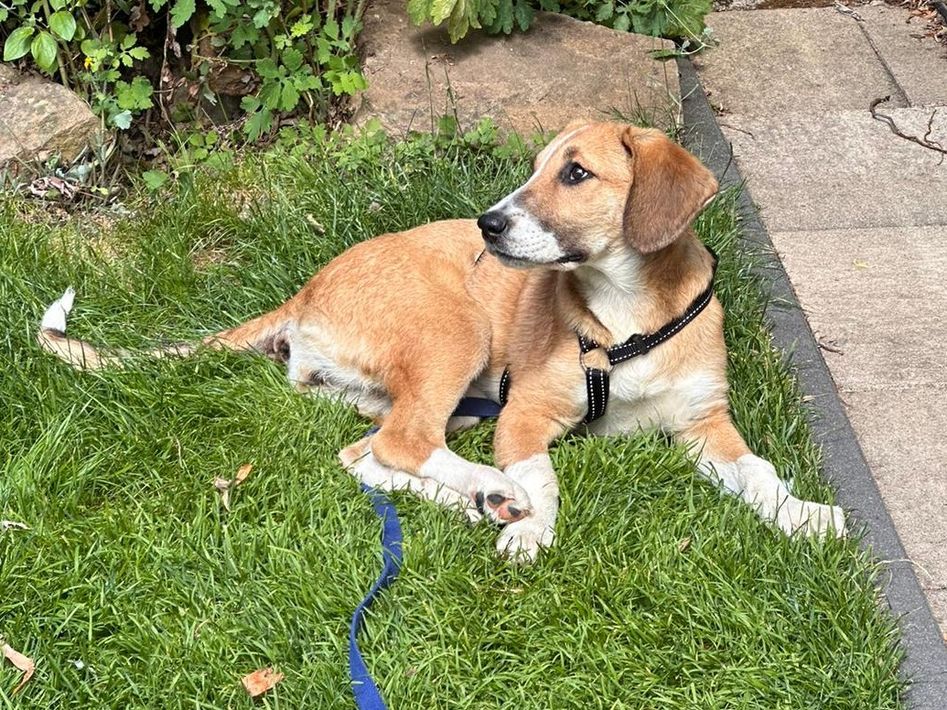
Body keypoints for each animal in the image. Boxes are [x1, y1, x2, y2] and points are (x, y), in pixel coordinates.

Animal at [38, 121, 846, 562]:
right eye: (534, 168)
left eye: (575, 173)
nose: (488, 225)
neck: (627, 319)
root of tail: (304, 291)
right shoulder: (524, 415)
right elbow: (543, 475)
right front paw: (533, 527)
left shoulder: (706, 423)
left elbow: (760, 474)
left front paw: (803, 516)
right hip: (457, 334)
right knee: (405, 443)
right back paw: (493, 492)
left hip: (427, 396)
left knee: (368, 455)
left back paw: (476, 500)